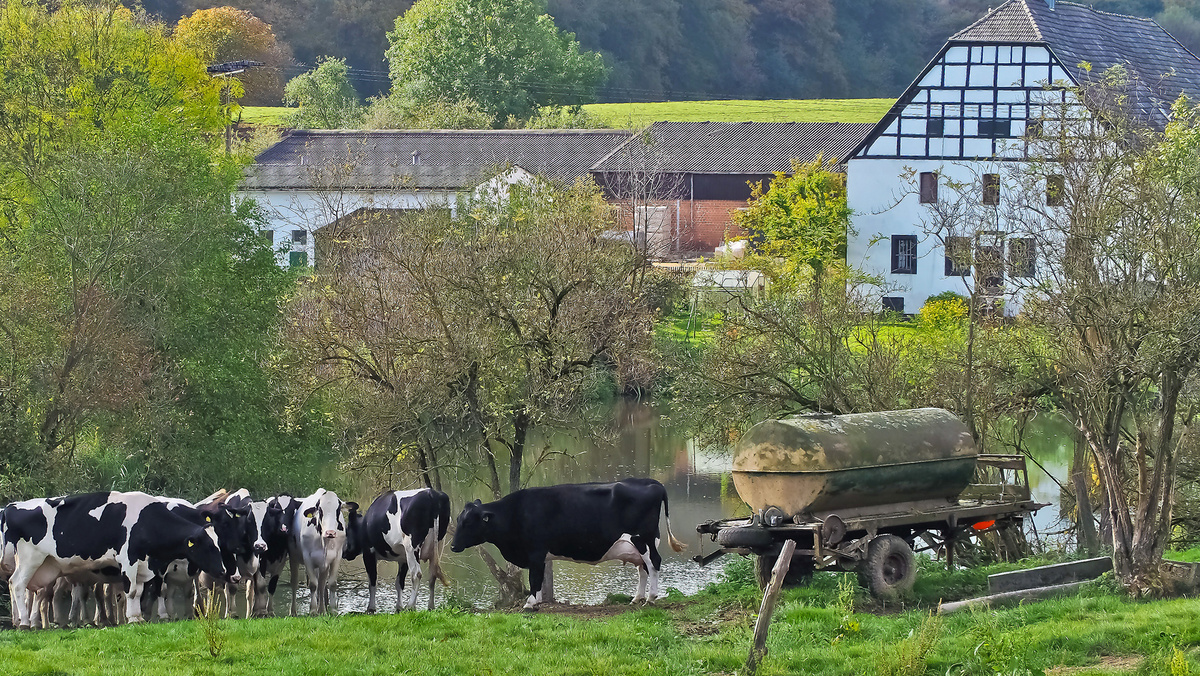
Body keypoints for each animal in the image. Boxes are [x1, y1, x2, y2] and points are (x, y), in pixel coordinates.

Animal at [2, 492, 232, 629]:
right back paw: (24, 623)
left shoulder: (142, 563)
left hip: (45, 564)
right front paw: (132, 618)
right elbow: (131, 591)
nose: (223, 571)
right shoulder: (128, 559)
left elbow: (138, 591)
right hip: (30, 558)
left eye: (219, 544)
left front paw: (137, 616)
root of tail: (11, 507)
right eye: (208, 546)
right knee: (17, 584)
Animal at [448, 477, 686, 609]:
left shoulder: (535, 552)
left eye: (468, 523)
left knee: (654, 563)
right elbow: (539, 579)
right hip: (641, 544)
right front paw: (538, 601)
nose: (452, 546)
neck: (515, 513)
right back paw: (637, 598)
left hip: (643, 538)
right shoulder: (539, 556)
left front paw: (530, 603)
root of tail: (651, 482)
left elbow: (534, 578)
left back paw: (651, 598)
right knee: (643, 568)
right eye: (458, 519)